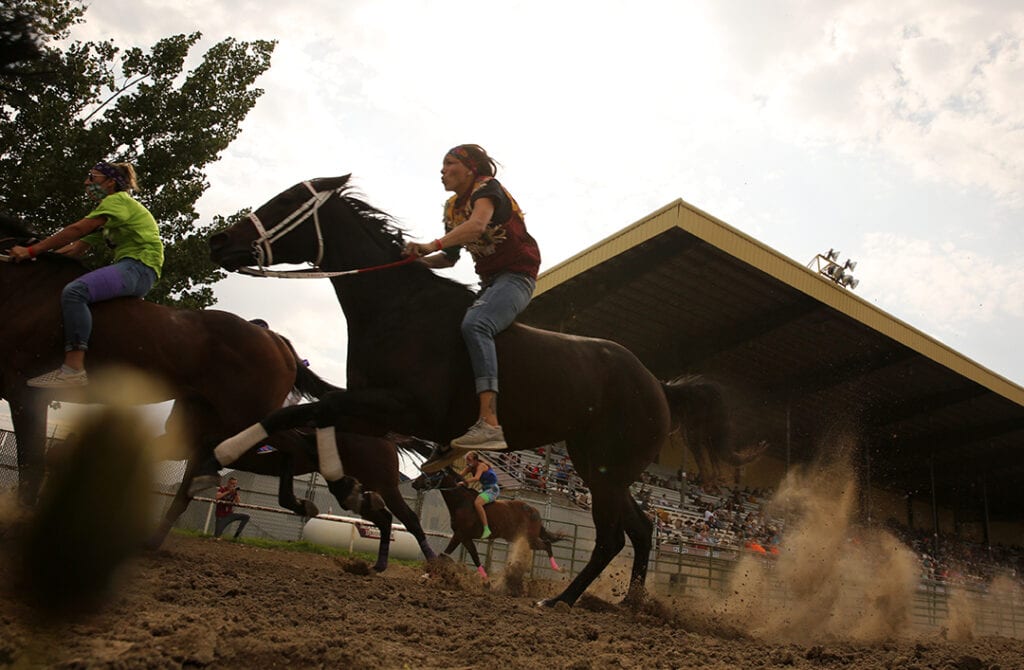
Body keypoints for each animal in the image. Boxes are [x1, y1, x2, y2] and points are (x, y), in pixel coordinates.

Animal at [411, 467, 565, 581]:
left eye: (435, 473)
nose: (414, 483)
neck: (462, 503)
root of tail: (534, 511)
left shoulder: (459, 534)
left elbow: (443, 554)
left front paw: (428, 574)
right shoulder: (466, 538)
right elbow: (475, 557)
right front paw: (485, 580)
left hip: (529, 538)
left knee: (547, 544)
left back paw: (558, 568)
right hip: (517, 537)